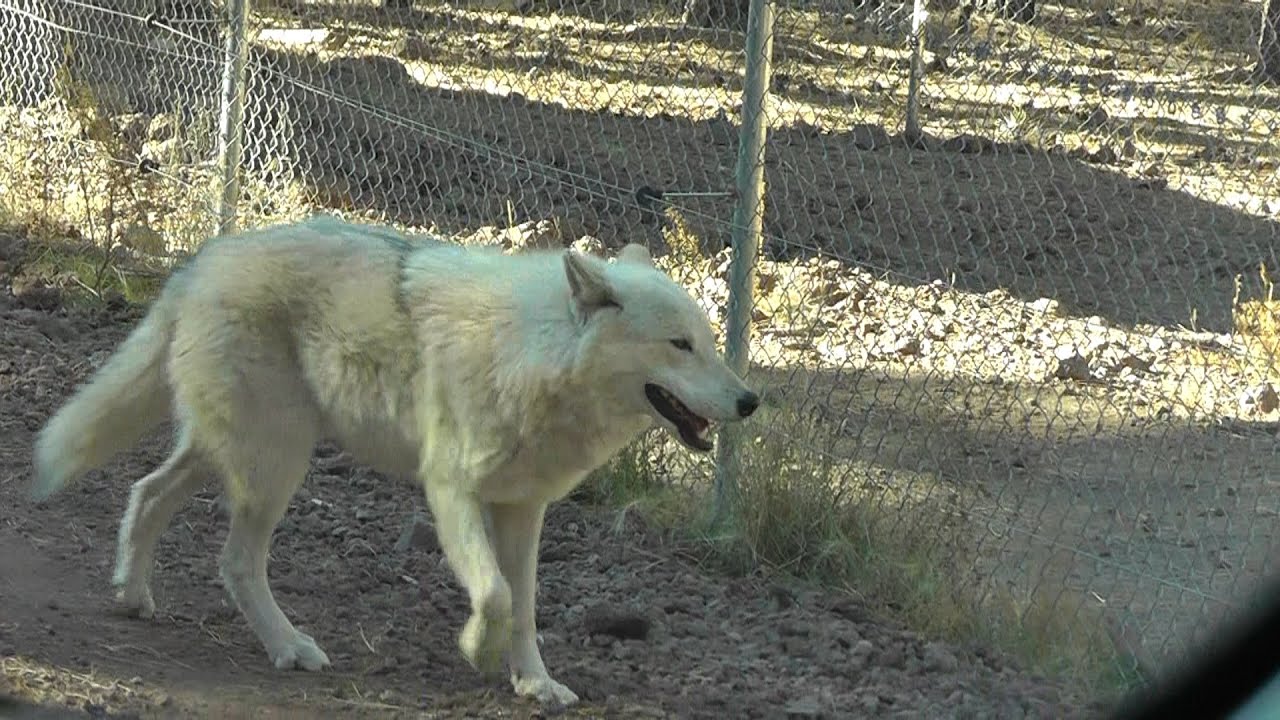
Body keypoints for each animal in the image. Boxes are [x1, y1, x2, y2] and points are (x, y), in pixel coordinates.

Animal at [27, 212, 757, 707]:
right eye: (679, 344)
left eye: (710, 343)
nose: (751, 400)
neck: (529, 353)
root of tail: (202, 263)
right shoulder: (450, 490)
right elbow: (494, 594)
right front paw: (477, 650)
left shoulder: (524, 510)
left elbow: (524, 605)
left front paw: (535, 683)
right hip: (277, 465)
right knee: (234, 560)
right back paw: (289, 647)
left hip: (231, 452)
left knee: (146, 493)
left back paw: (134, 596)